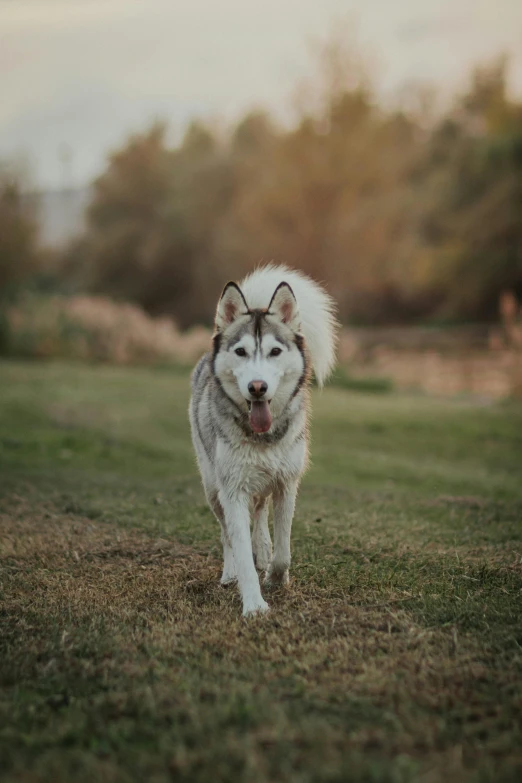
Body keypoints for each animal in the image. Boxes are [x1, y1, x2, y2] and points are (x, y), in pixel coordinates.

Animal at [187, 266, 338, 616]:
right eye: (241, 351)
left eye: (275, 351)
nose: (258, 387)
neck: (262, 436)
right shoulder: (232, 490)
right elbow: (240, 547)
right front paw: (254, 604)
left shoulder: (287, 483)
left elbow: (284, 549)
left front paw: (275, 577)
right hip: (213, 486)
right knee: (227, 533)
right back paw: (229, 573)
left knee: (259, 512)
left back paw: (264, 549)